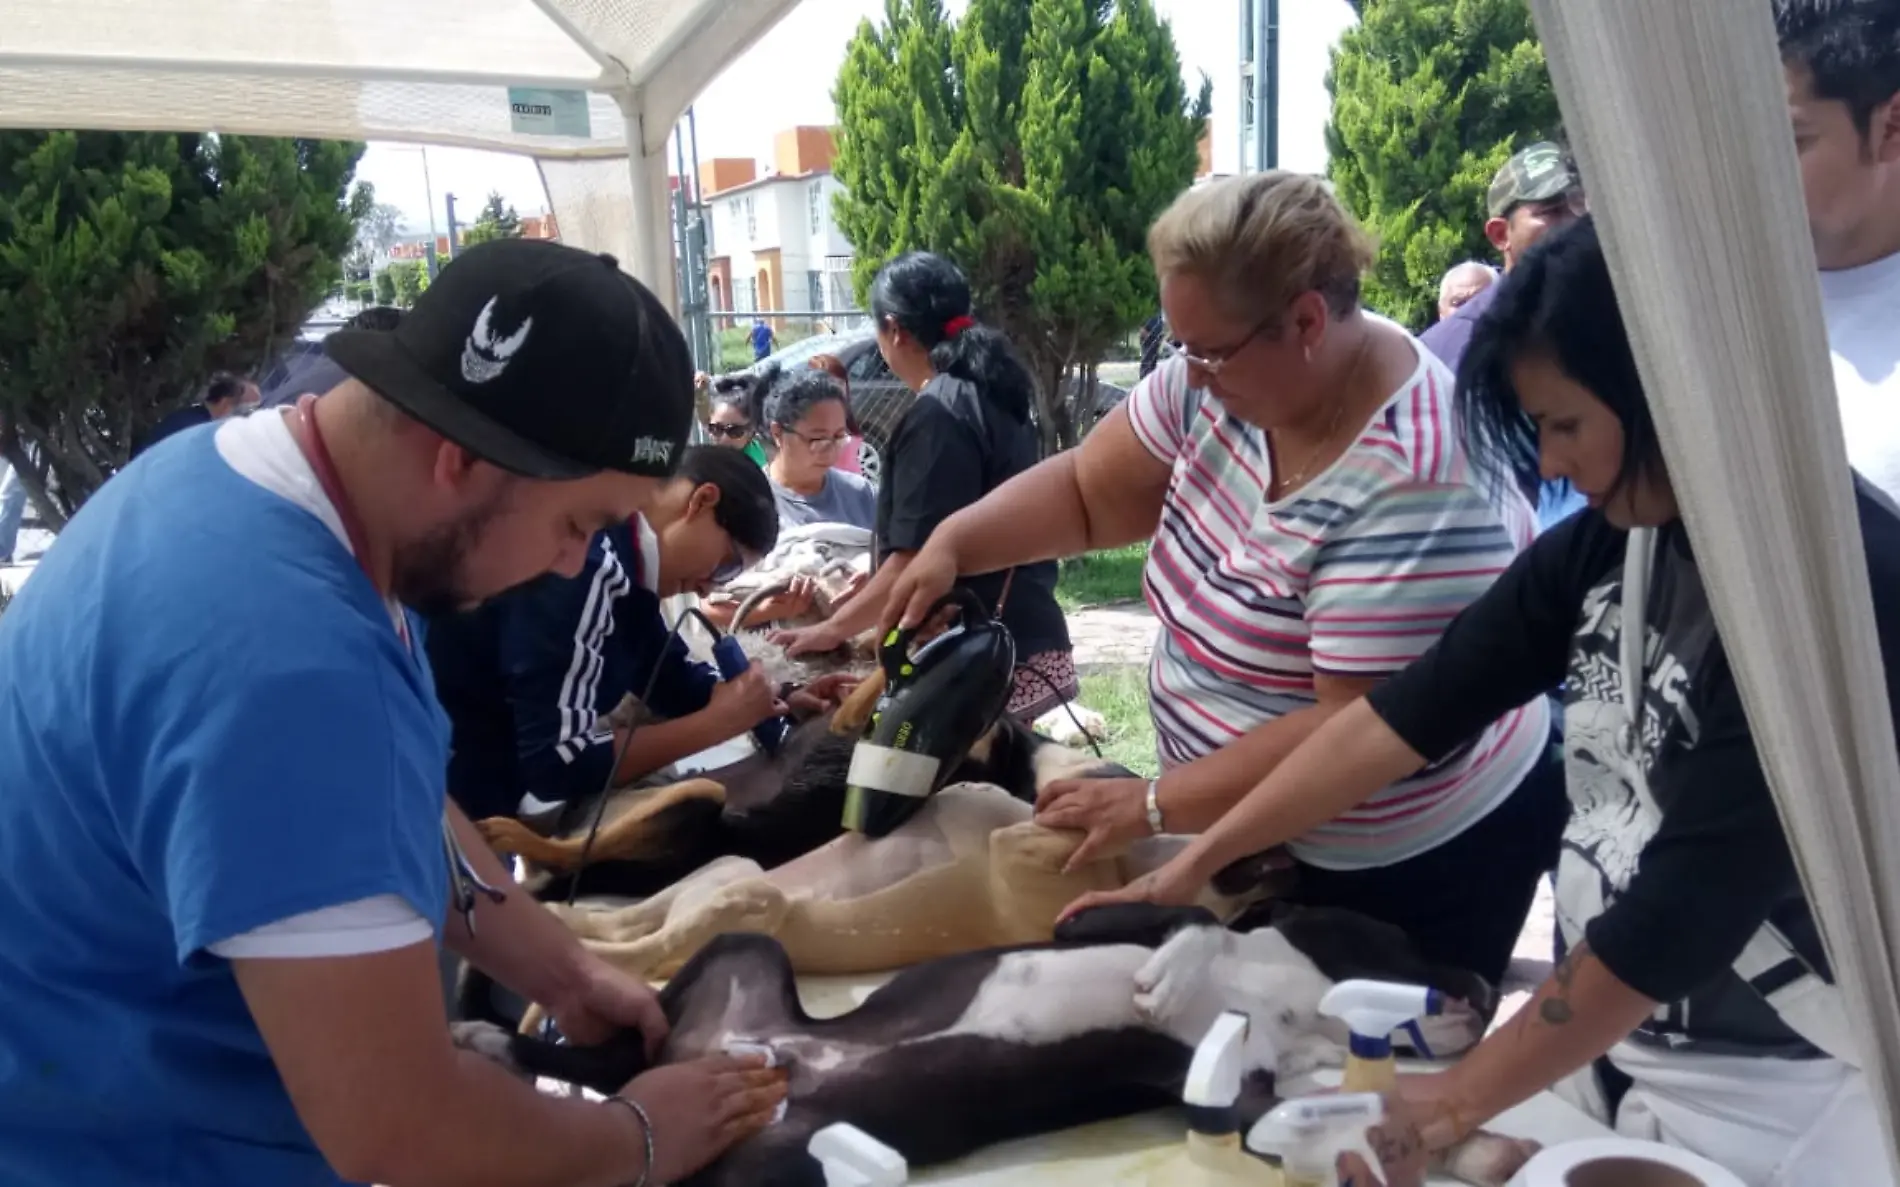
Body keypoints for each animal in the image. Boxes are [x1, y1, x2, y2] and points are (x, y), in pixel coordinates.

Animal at [467, 904, 1535, 1177]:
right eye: (1394, 934)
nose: (1487, 988)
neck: (1298, 999)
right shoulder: (1106, 916)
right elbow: (1197, 923)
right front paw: (1172, 972)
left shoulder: (1246, 1097)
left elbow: (1317, 1106)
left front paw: (1479, 1143)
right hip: (744, 951)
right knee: (616, 1058)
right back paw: (502, 1043)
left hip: (773, 1164)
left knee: (629, 1083)